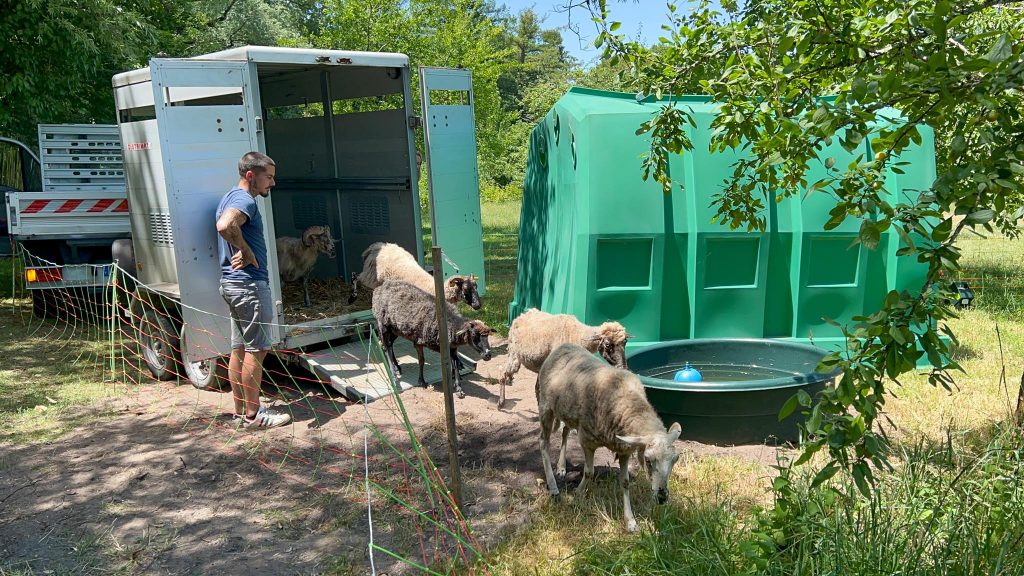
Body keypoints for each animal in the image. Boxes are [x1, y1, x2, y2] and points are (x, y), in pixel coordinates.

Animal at [346, 239, 481, 309]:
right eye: (464, 289)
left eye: (476, 287)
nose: (478, 305)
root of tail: (375, 246)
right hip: (370, 276)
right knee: (355, 276)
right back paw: (352, 297)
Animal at [497, 305, 630, 407]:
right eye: (607, 344)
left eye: (625, 342)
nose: (623, 367)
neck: (577, 335)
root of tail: (523, 314)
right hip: (513, 353)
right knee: (503, 371)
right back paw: (501, 402)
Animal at [536, 338, 679, 532]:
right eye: (648, 460)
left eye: (675, 460)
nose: (662, 498)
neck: (626, 405)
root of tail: (563, 345)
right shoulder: (587, 440)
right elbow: (589, 472)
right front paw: (578, 495)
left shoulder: (625, 449)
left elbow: (625, 481)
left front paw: (631, 521)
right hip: (545, 406)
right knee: (543, 442)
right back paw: (553, 488)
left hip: (568, 412)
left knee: (565, 431)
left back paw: (561, 467)